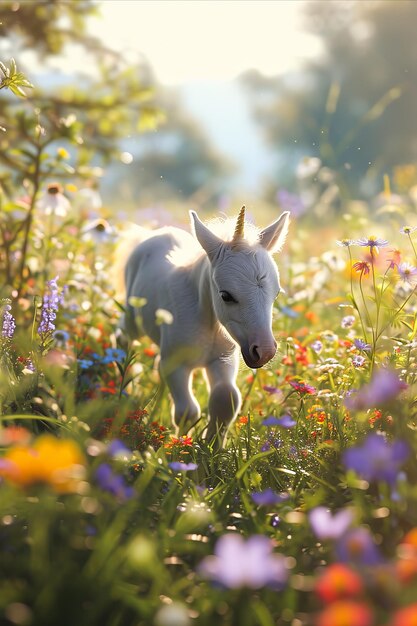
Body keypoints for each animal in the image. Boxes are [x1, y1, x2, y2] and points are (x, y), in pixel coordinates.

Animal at [122, 207, 288, 442]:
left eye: (276, 294)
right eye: (226, 295)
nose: (264, 351)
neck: (207, 323)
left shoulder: (222, 359)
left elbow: (226, 398)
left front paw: (212, 445)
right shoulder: (176, 363)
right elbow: (187, 411)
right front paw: (181, 444)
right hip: (131, 316)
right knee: (124, 338)